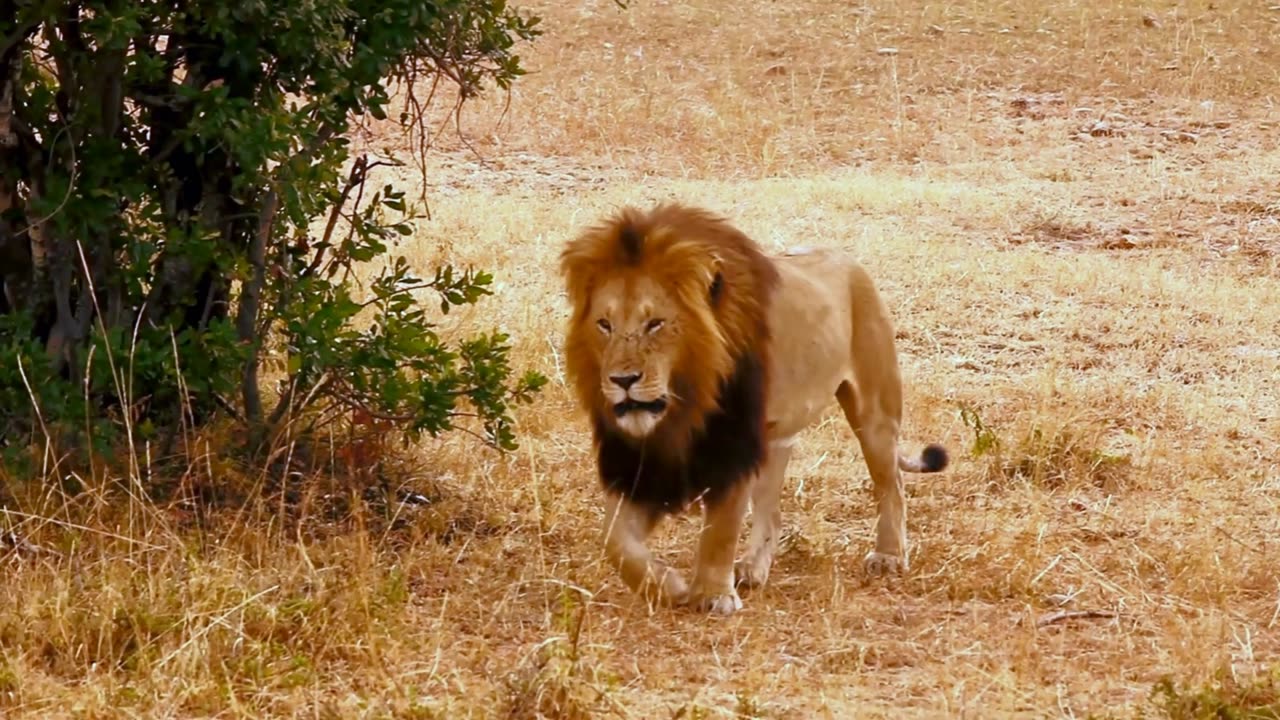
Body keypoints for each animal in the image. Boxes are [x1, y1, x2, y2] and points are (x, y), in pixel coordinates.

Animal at [559, 202, 949, 615]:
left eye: (655, 323)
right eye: (604, 324)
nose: (622, 380)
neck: (685, 405)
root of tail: (847, 259)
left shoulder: (734, 446)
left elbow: (721, 528)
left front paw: (713, 595)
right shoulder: (646, 463)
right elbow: (613, 539)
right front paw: (668, 586)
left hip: (875, 414)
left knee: (893, 485)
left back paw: (889, 556)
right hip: (776, 438)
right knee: (772, 512)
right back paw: (752, 568)